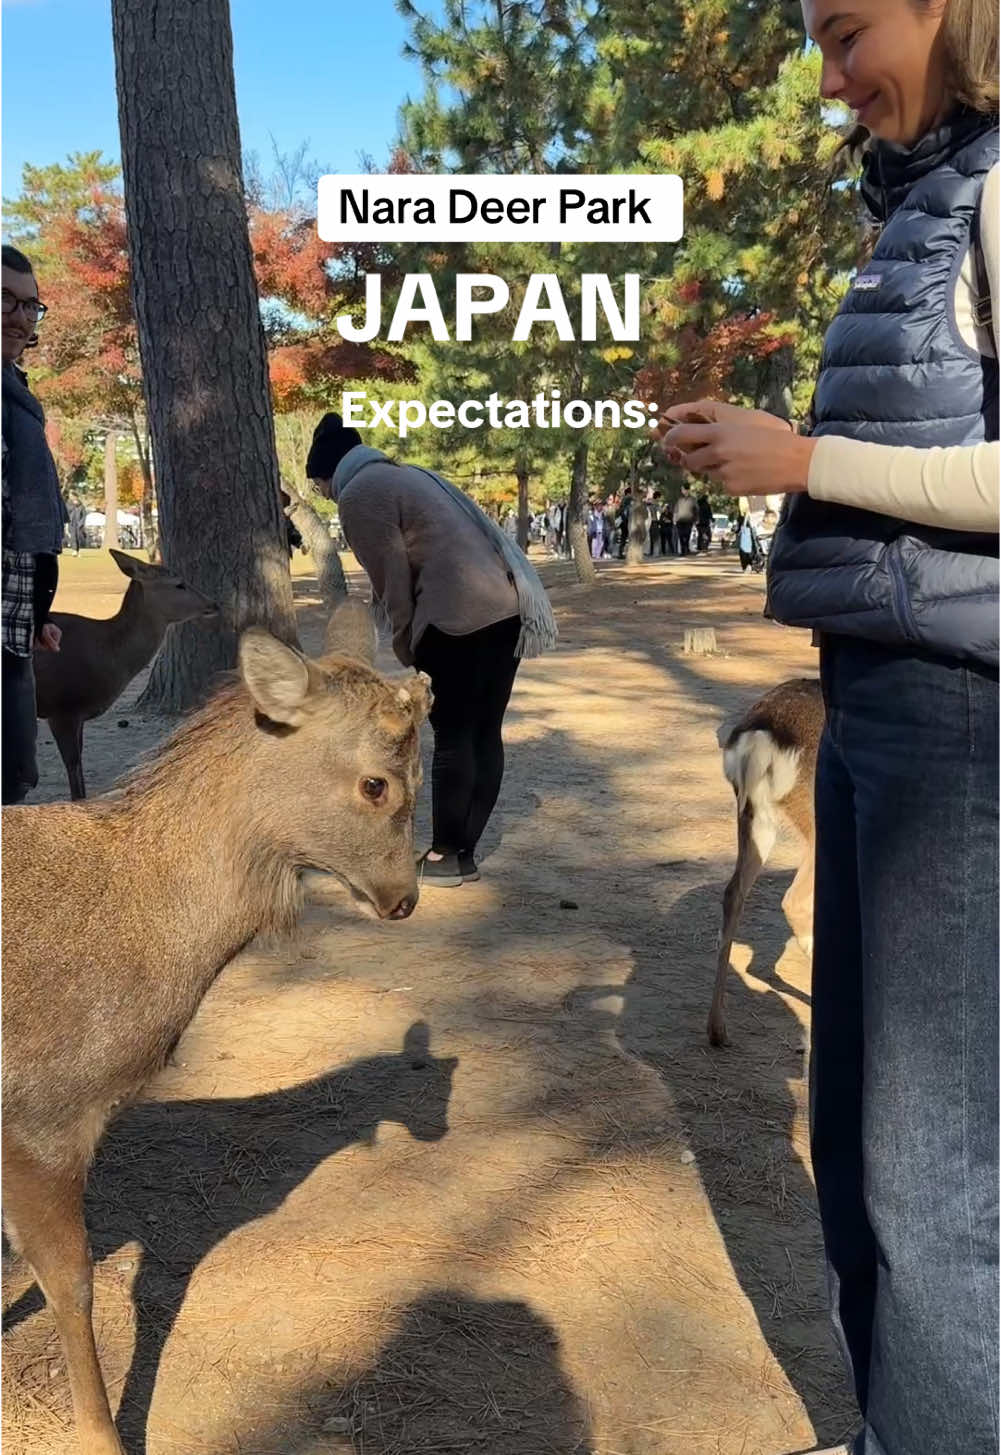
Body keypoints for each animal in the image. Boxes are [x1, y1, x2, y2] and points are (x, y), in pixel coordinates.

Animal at [33, 547, 215, 797]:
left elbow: (79, 766)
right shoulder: (62, 708)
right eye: (179, 584)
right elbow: (73, 768)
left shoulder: (77, 715)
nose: (214, 604)